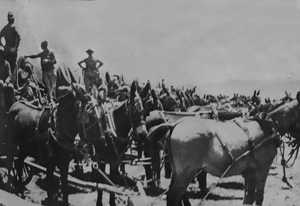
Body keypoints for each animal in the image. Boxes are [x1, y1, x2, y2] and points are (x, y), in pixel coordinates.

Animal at [148, 91, 300, 205]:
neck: (268, 125)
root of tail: (173, 125)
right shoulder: (262, 170)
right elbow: (258, 198)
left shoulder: (250, 172)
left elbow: (248, 199)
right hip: (186, 174)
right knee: (173, 197)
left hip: (178, 173)